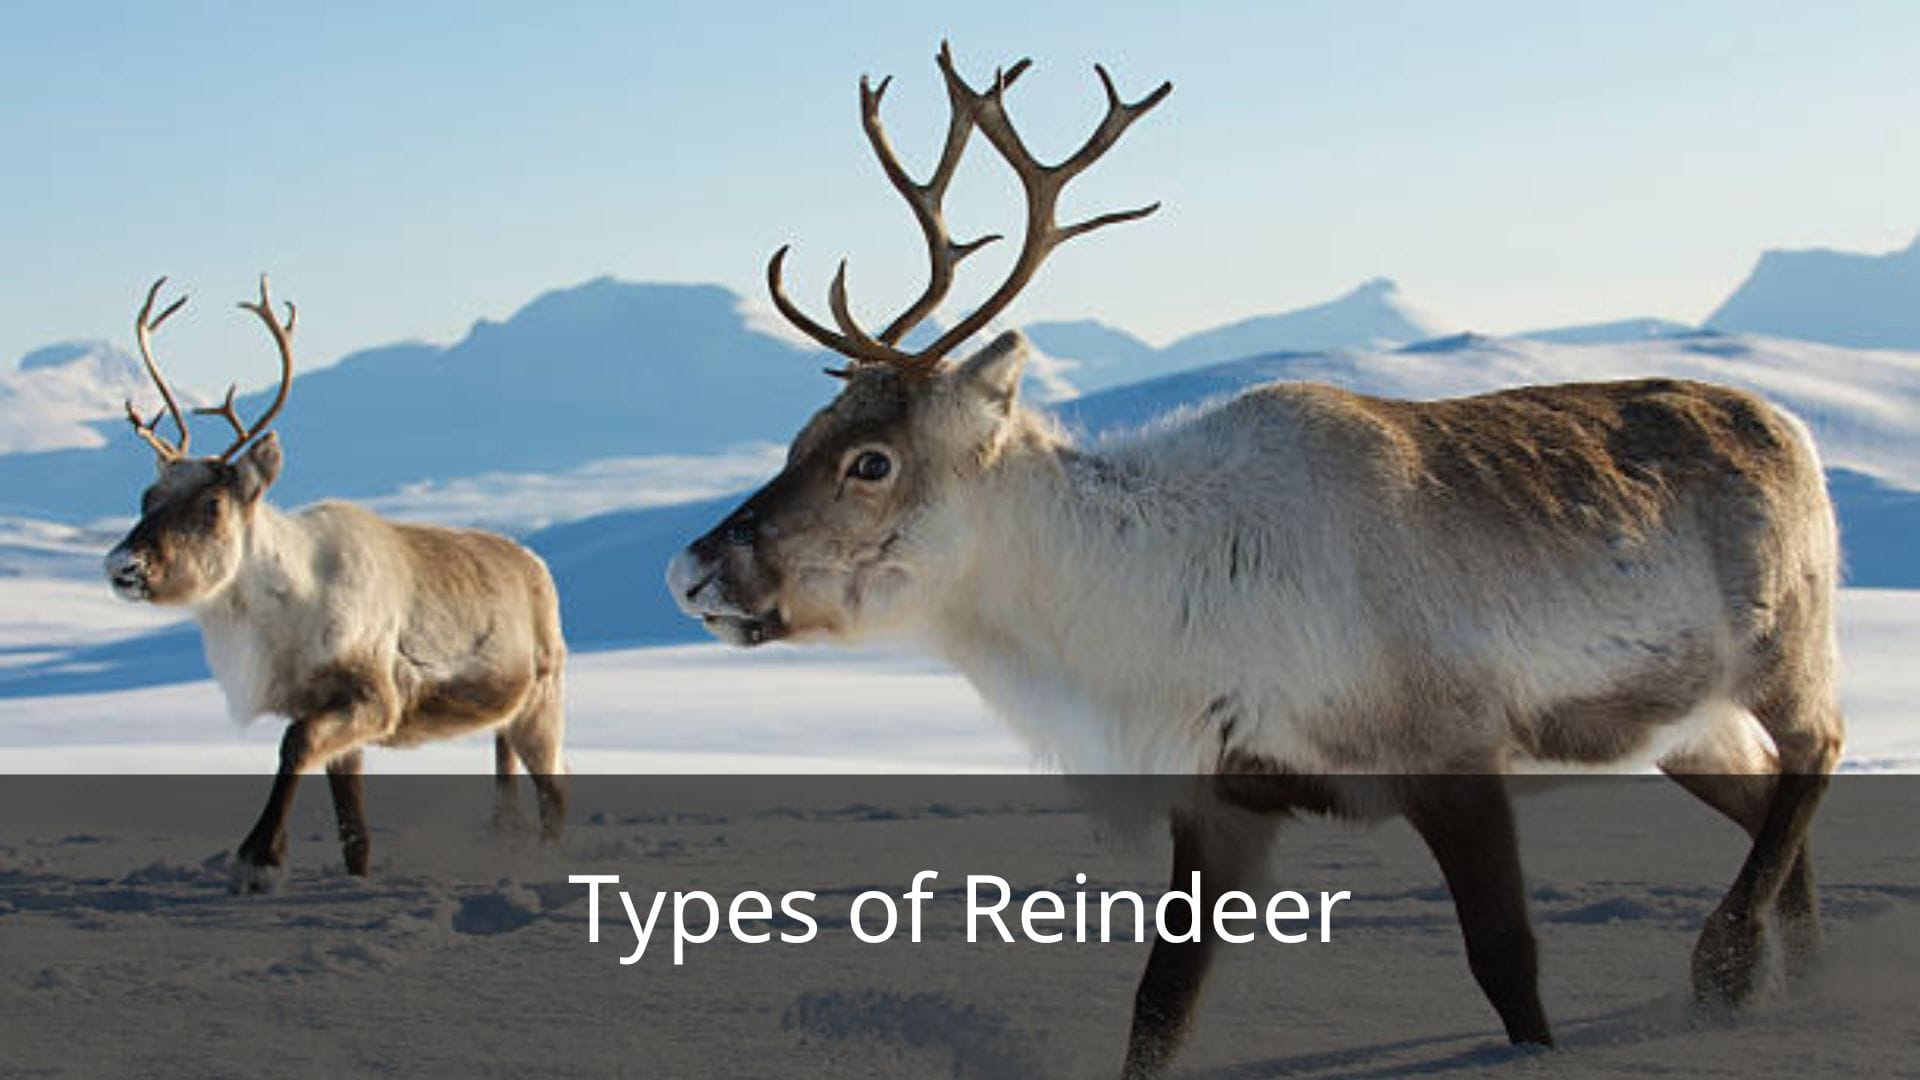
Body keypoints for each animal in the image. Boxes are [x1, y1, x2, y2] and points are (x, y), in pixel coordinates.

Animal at [105, 276, 569, 893]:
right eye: (146, 496)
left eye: (212, 504)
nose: (123, 565)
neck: (288, 613)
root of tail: (537, 566)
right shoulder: (330, 712)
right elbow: (354, 831)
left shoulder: (375, 697)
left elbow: (294, 743)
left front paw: (258, 858)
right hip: (509, 719)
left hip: (542, 701)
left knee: (557, 795)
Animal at [667, 44, 1845, 1077]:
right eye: (799, 437)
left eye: (870, 461)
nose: (692, 569)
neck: (1149, 610)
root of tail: (1787, 424)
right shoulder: (1224, 799)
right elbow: (1160, 1004)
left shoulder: (1452, 753)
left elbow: (1507, 964)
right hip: (1683, 725)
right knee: (1769, 808)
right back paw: (1799, 982)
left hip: (1785, 646)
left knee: (1815, 752)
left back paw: (1728, 967)